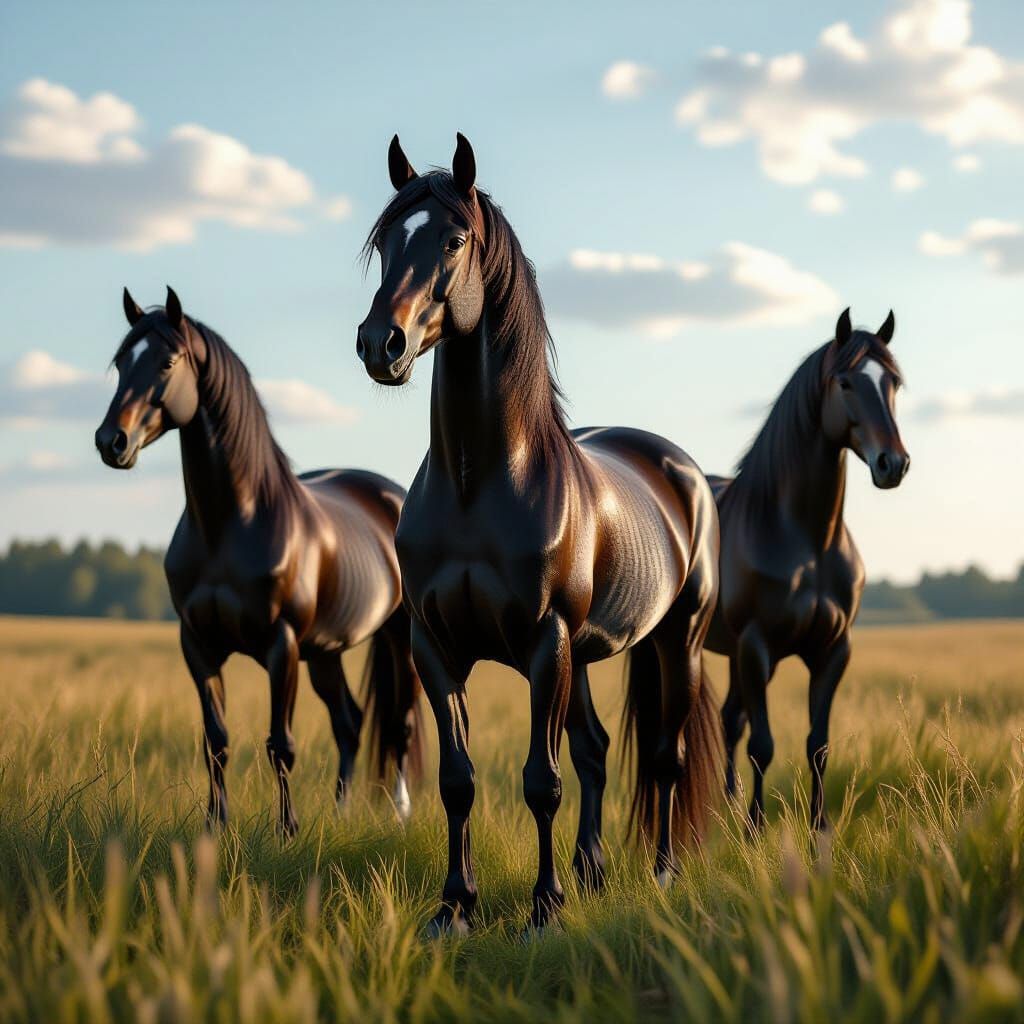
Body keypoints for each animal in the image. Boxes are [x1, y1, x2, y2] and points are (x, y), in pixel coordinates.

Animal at [95, 288, 422, 835]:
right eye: (121, 363)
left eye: (167, 362)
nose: (110, 442)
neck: (229, 524)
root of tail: (391, 494)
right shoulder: (198, 646)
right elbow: (216, 742)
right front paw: (215, 825)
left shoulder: (280, 646)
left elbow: (280, 744)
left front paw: (287, 830)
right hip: (325, 651)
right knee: (350, 723)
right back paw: (340, 811)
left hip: (399, 639)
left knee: (400, 724)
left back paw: (399, 814)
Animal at [356, 134, 723, 933]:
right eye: (386, 241)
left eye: (454, 239)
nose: (380, 343)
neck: (479, 483)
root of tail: (680, 469)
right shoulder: (435, 647)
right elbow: (459, 781)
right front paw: (454, 906)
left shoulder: (543, 643)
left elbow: (540, 780)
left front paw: (543, 909)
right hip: (582, 657)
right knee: (596, 751)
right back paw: (593, 871)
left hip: (672, 641)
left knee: (665, 757)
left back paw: (661, 872)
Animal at [704, 308, 909, 832]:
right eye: (845, 382)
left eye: (894, 382)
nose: (893, 464)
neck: (807, 540)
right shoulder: (757, 647)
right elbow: (762, 744)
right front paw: (755, 829)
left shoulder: (832, 650)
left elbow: (818, 745)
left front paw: (819, 828)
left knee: (728, 719)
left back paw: (727, 806)